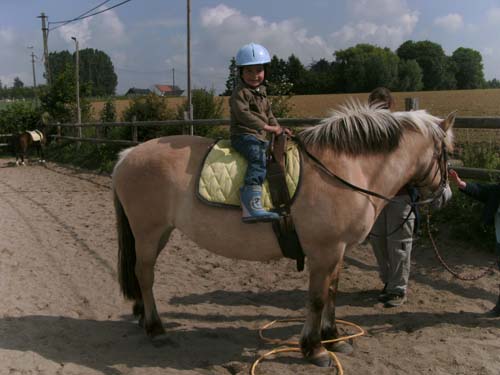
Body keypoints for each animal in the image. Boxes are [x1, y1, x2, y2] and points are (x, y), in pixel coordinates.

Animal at [111, 102, 456, 368]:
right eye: (449, 152)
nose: (446, 196)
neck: (343, 169)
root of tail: (127, 155)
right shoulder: (324, 252)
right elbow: (317, 299)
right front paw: (314, 348)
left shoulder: (338, 252)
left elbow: (332, 293)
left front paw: (333, 338)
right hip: (148, 231)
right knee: (144, 274)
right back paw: (155, 327)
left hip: (159, 233)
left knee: (140, 273)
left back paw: (142, 315)